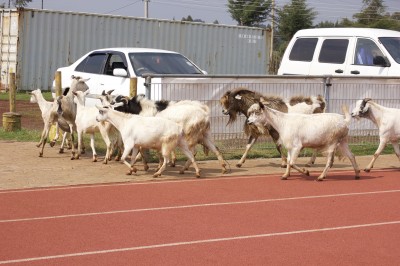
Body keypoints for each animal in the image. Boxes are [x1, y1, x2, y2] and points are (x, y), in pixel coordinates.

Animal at [100, 91, 228, 175]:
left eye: (118, 106)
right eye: (113, 102)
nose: (106, 109)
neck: (141, 110)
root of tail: (204, 113)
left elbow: (144, 151)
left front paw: (145, 166)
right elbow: (153, 152)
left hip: (190, 136)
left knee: (193, 152)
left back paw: (184, 169)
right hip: (205, 135)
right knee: (215, 149)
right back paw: (223, 168)